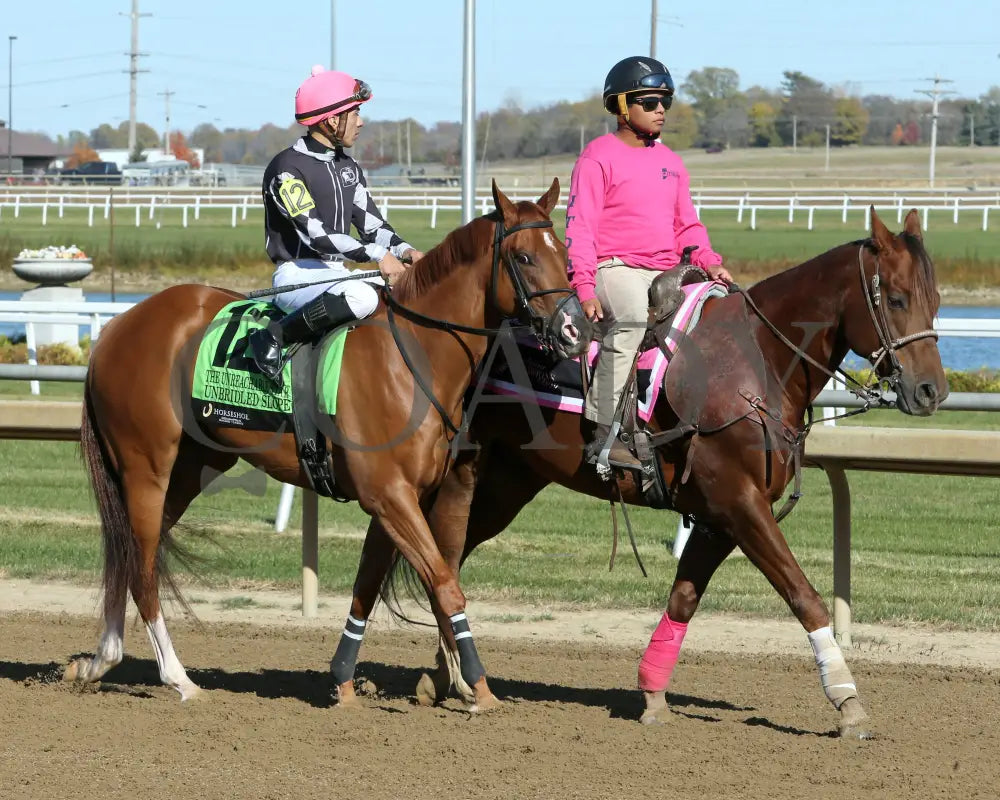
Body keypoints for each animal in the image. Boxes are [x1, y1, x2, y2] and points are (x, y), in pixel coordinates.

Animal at [70, 178, 592, 708]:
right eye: (524, 257)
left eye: (564, 252)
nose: (576, 329)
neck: (411, 358)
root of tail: (116, 328)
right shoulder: (388, 494)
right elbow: (444, 582)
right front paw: (479, 686)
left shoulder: (402, 498)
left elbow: (371, 584)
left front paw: (346, 679)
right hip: (146, 467)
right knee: (141, 567)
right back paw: (178, 677)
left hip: (190, 468)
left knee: (129, 556)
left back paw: (99, 661)